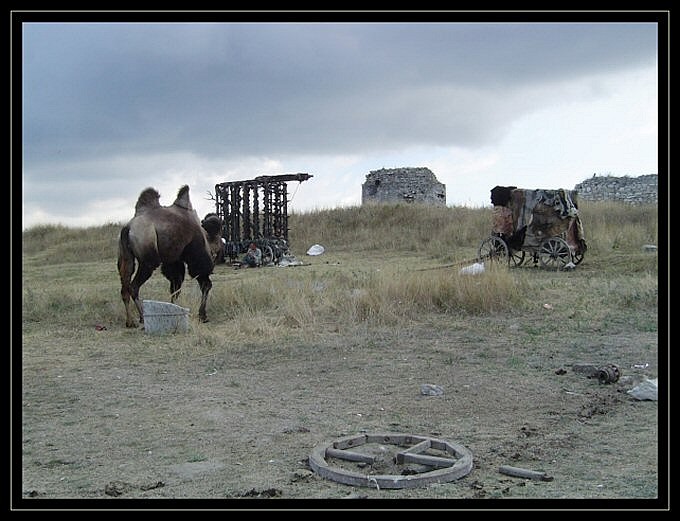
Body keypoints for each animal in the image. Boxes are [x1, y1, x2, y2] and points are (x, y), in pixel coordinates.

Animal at [117, 185, 212, 328]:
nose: (203, 316)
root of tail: (128, 229)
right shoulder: (194, 252)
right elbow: (204, 283)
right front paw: (202, 315)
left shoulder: (174, 259)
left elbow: (175, 286)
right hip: (147, 261)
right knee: (134, 287)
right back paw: (142, 317)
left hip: (126, 257)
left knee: (125, 287)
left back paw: (130, 321)